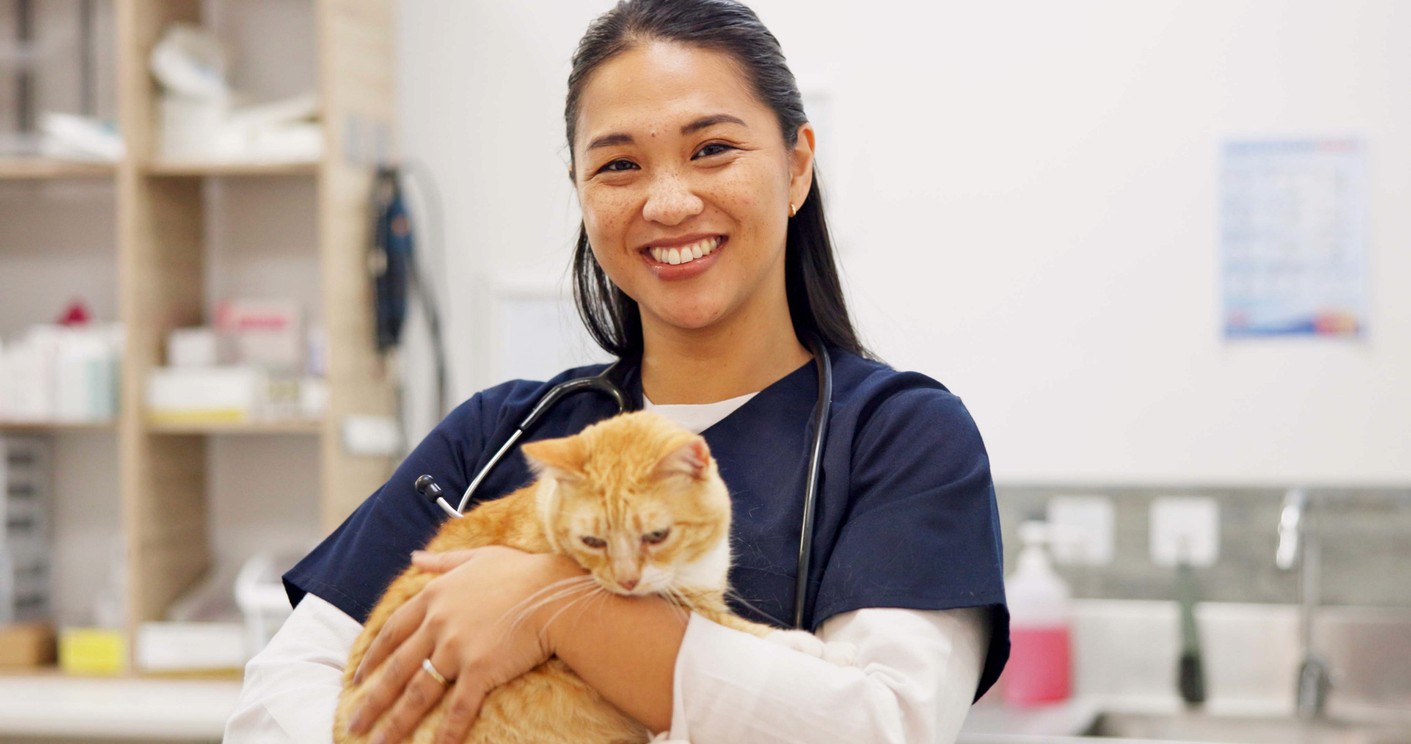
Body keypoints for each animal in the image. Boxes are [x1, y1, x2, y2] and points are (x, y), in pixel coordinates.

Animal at [332, 409, 818, 744]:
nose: (625, 582)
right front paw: (806, 645)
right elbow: (736, 628)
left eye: (656, 535)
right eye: (593, 541)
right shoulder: (690, 609)